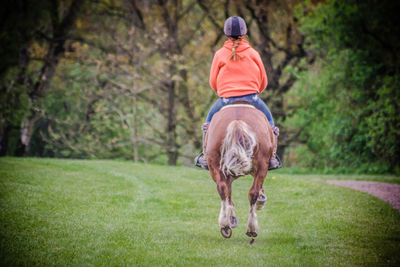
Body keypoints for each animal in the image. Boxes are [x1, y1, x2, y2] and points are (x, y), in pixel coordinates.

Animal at [203, 104, 276, 241]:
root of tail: (237, 122)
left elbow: (228, 192)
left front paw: (230, 218)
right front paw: (261, 201)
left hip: (214, 164)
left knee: (222, 188)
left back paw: (225, 226)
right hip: (262, 165)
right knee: (253, 192)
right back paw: (251, 228)